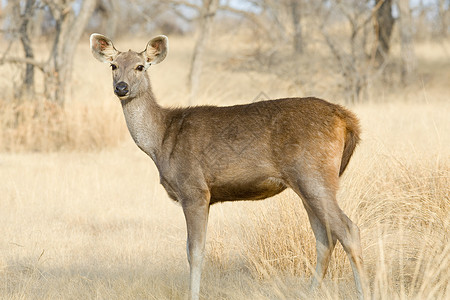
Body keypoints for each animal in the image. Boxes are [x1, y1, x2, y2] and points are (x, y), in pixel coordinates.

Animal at [89, 33, 368, 300]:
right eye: (114, 65)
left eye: (140, 66)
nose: (121, 87)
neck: (161, 140)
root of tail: (346, 119)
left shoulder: (194, 189)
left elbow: (195, 251)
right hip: (306, 183)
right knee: (325, 238)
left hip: (313, 175)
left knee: (348, 230)